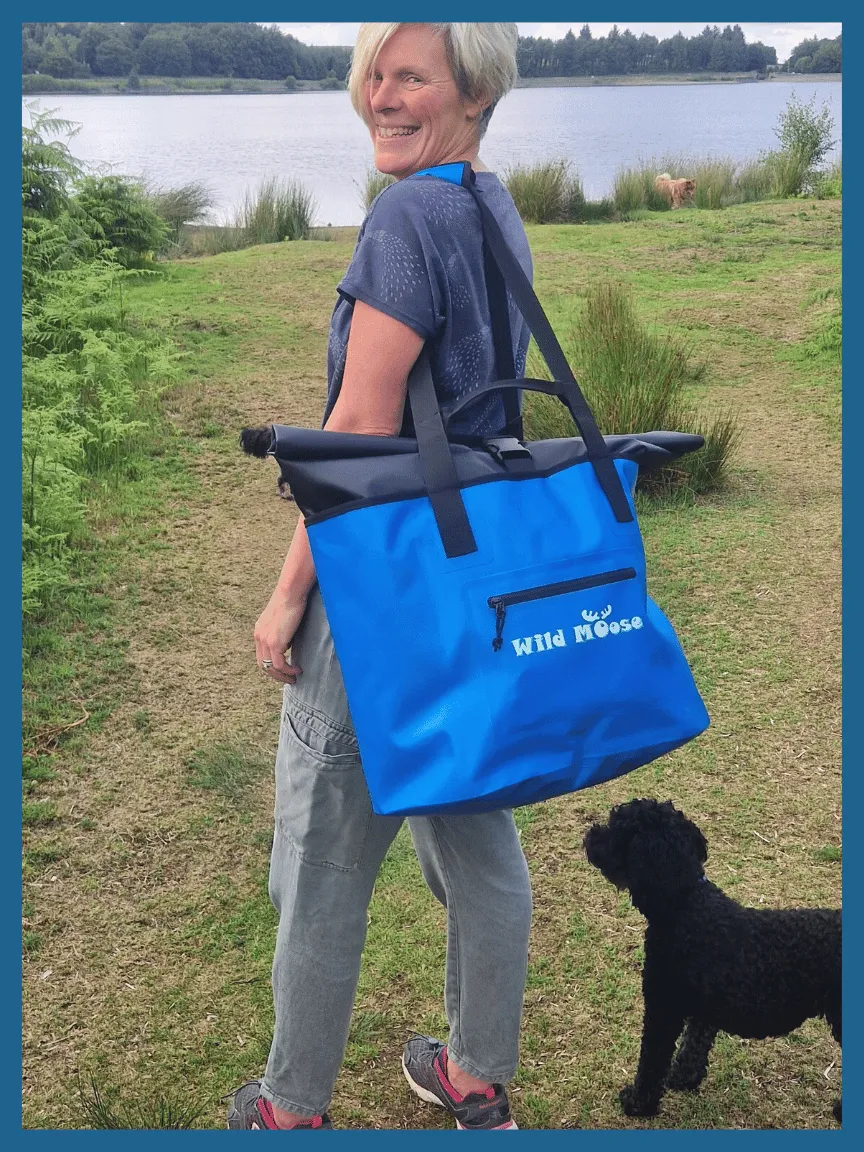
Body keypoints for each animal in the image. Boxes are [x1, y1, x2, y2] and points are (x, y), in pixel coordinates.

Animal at [585, 797, 843, 1119]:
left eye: (616, 827)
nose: (589, 835)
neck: (686, 904)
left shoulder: (662, 1006)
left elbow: (652, 1060)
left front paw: (637, 1102)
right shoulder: (702, 1005)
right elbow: (694, 1041)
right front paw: (684, 1077)